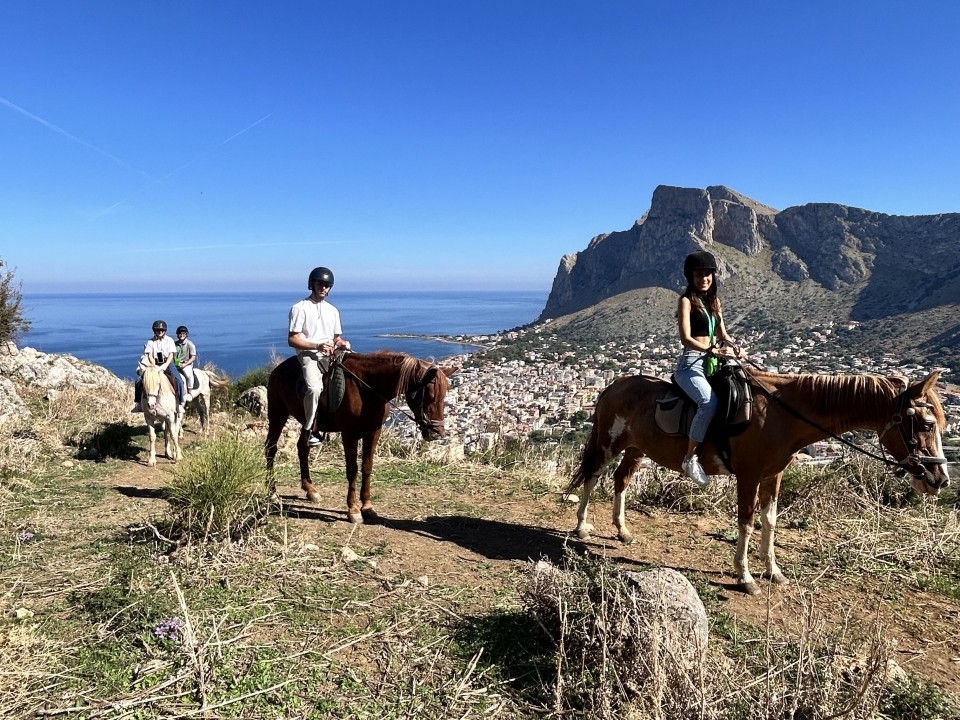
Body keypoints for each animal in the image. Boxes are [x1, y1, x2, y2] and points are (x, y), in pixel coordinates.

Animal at [265, 351, 456, 523]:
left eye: (445, 395)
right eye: (431, 395)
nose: (437, 432)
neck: (367, 390)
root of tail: (277, 370)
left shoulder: (373, 433)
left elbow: (367, 467)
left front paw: (367, 506)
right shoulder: (349, 435)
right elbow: (352, 470)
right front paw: (353, 509)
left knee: (302, 448)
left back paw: (310, 489)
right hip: (278, 415)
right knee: (270, 449)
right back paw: (272, 493)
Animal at [567, 368, 950, 595]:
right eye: (926, 425)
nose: (940, 479)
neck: (783, 415)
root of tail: (613, 386)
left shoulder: (772, 475)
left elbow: (769, 521)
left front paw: (773, 570)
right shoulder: (749, 475)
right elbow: (747, 524)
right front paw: (745, 576)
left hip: (636, 448)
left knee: (620, 480)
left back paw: (622, 530)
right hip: (609, 442)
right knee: (593, 477)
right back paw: (582, 526)